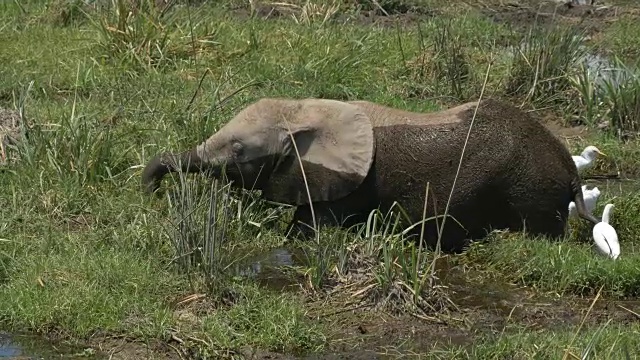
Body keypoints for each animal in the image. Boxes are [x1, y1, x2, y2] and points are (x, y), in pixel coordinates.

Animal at [141, 97, 600, 252]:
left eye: (238, 151)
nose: (151, 192)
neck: (307, 109)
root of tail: (570, 170)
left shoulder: (349, 185)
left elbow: (312, 227)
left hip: (530, 192)